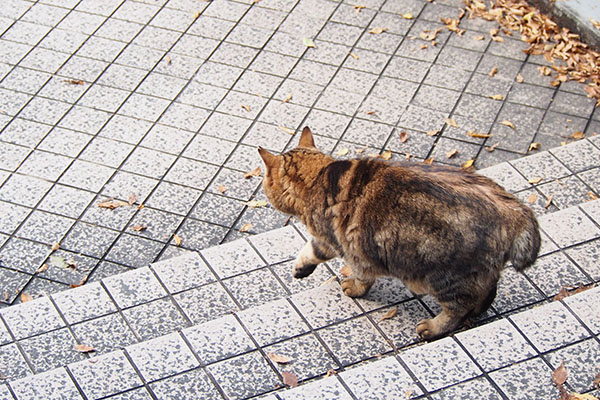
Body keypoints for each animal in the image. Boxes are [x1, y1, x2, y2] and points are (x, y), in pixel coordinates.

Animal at [258, 126, 540, 340]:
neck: (320, 175)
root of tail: (515, 210)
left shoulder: (342, 244)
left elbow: (344, 266)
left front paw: (347, 285)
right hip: (476, 273)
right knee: (488, 291)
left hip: (445, 277)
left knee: (459, 307)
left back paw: (433, 327)